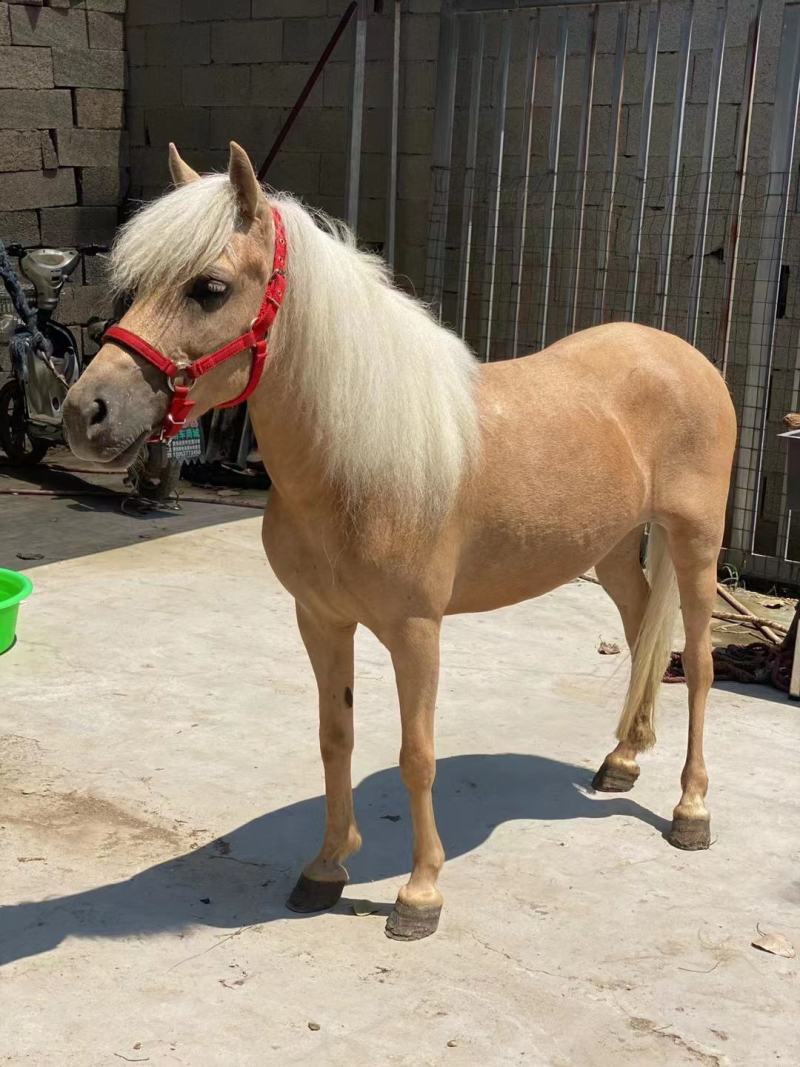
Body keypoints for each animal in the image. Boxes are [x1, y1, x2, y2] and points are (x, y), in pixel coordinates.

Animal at [63, 142, 737, 942]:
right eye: (134, 285)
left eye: (210, 288)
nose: (85, 413)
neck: (355, 464)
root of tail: (682, 355)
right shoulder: (321, 619)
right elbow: (336, 737)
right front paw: (326, 870)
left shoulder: (416, 630)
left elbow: (417, 755)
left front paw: (420, 895)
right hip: (609, 550)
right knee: (641, 637)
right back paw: (622, 762)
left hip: (695, 545)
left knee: (698, 664)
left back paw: (691, 811)